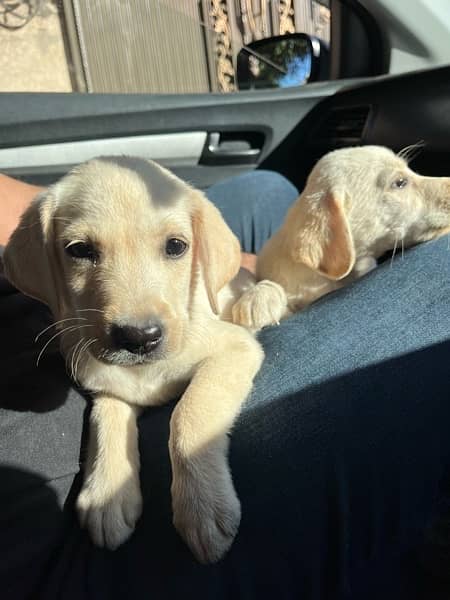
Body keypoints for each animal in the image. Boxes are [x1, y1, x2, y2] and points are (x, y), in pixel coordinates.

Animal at [2, 157, 264, 564]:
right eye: (80, 250)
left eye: (176, 246)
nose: (138, 338)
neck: (145, 372)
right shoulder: (108, 388)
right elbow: (105, 421)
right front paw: (107, 495)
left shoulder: (234, 348)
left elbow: (189, 415)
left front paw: (202, 505)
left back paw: (262, 300)